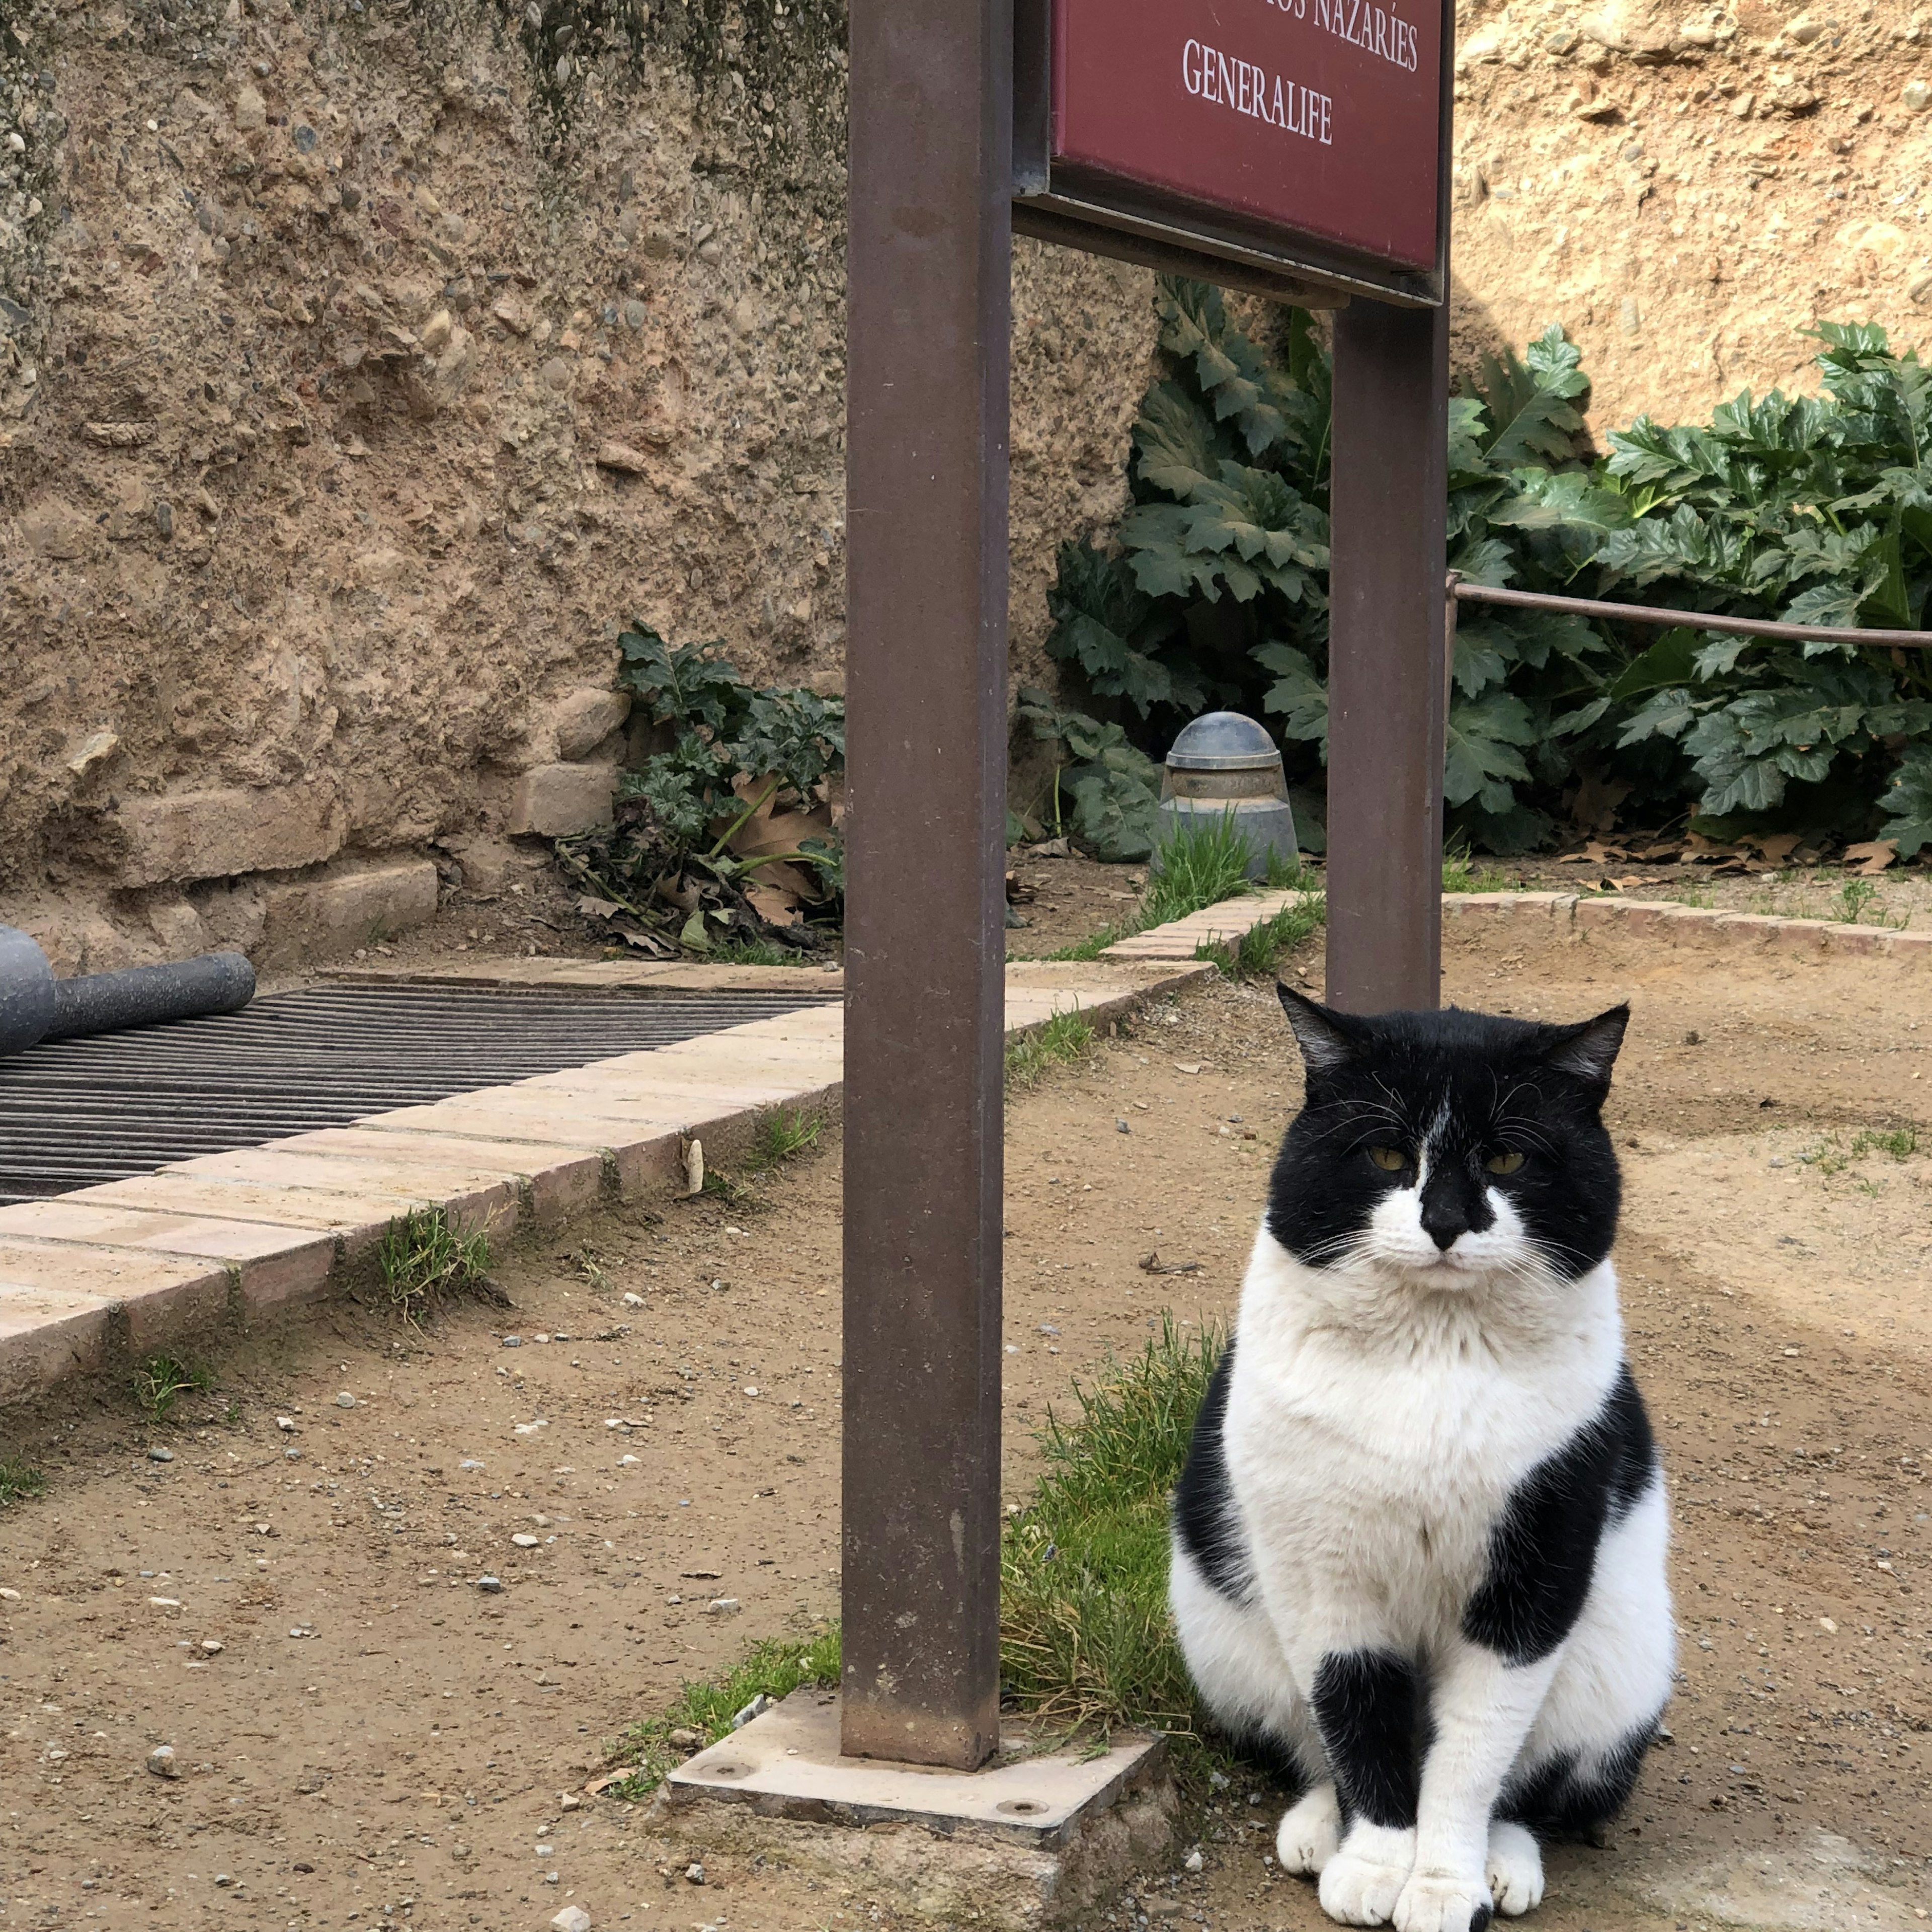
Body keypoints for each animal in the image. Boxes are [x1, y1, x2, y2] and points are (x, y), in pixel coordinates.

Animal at [1159, 997, 1677, 1932]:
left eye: (1507, 1158)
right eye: (1388, 1156)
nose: (1445, 1221)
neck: (1431, 1353)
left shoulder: (1530, 1583)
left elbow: (1470, 1757)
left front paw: (1441, 1883)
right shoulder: (1324, 1584)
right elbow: (1357, 1720)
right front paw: (1375, 1862)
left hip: (1619, 1669)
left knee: (1532, 1786)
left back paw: (1503, 1862)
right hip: (1223, 1640)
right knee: (1311, 1746)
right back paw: (1318, 1828)